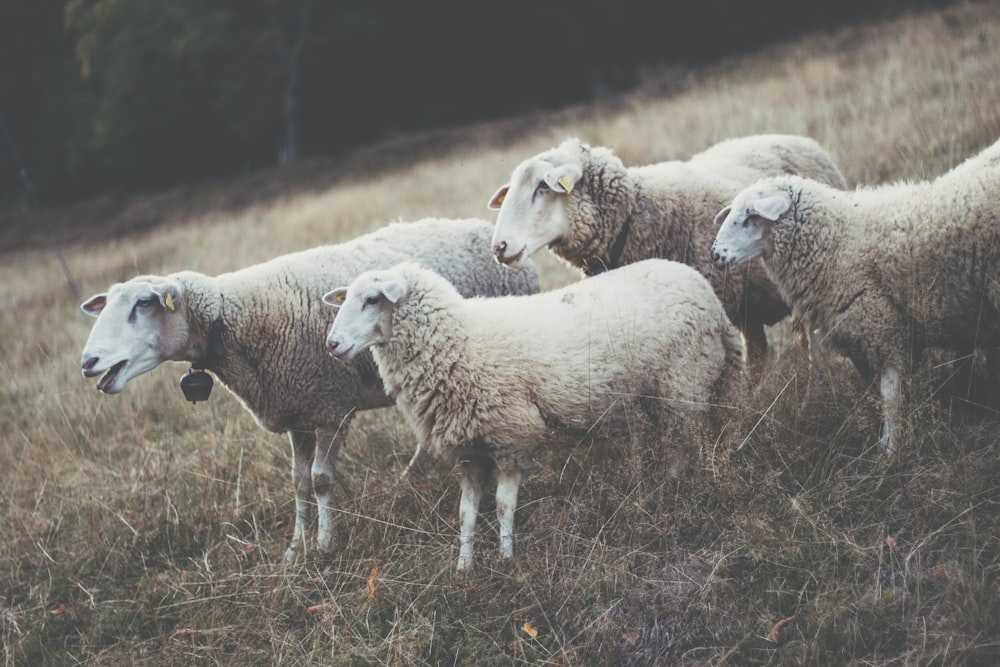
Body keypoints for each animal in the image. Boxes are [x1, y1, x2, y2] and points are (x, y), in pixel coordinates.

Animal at [82, 217, 544, 560]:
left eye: (144, 304)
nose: (88, 362)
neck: (235, 320)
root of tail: (489, 230)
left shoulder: (329, 408)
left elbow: (321, 481)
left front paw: (324, 544)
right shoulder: (296, 413)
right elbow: (299, 482)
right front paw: (294, 548)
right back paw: (410, 480)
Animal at [320, 258, 744, 572]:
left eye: (372, 299)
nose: (332, 344)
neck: (461, 339)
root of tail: (712, 301)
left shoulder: (512, 436)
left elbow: (503, 505)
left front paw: (507, 559)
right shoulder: (470, 449)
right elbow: (466, 513)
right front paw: (464, 566)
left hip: (682, 382)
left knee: (683, 446)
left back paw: (671, 491)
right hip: (661, 393)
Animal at [712, 137, 1000, 460]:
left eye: (750, 218)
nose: (715, 255)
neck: (839, 238)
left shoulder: (881, 324)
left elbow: (889, 394)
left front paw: (889, 449)